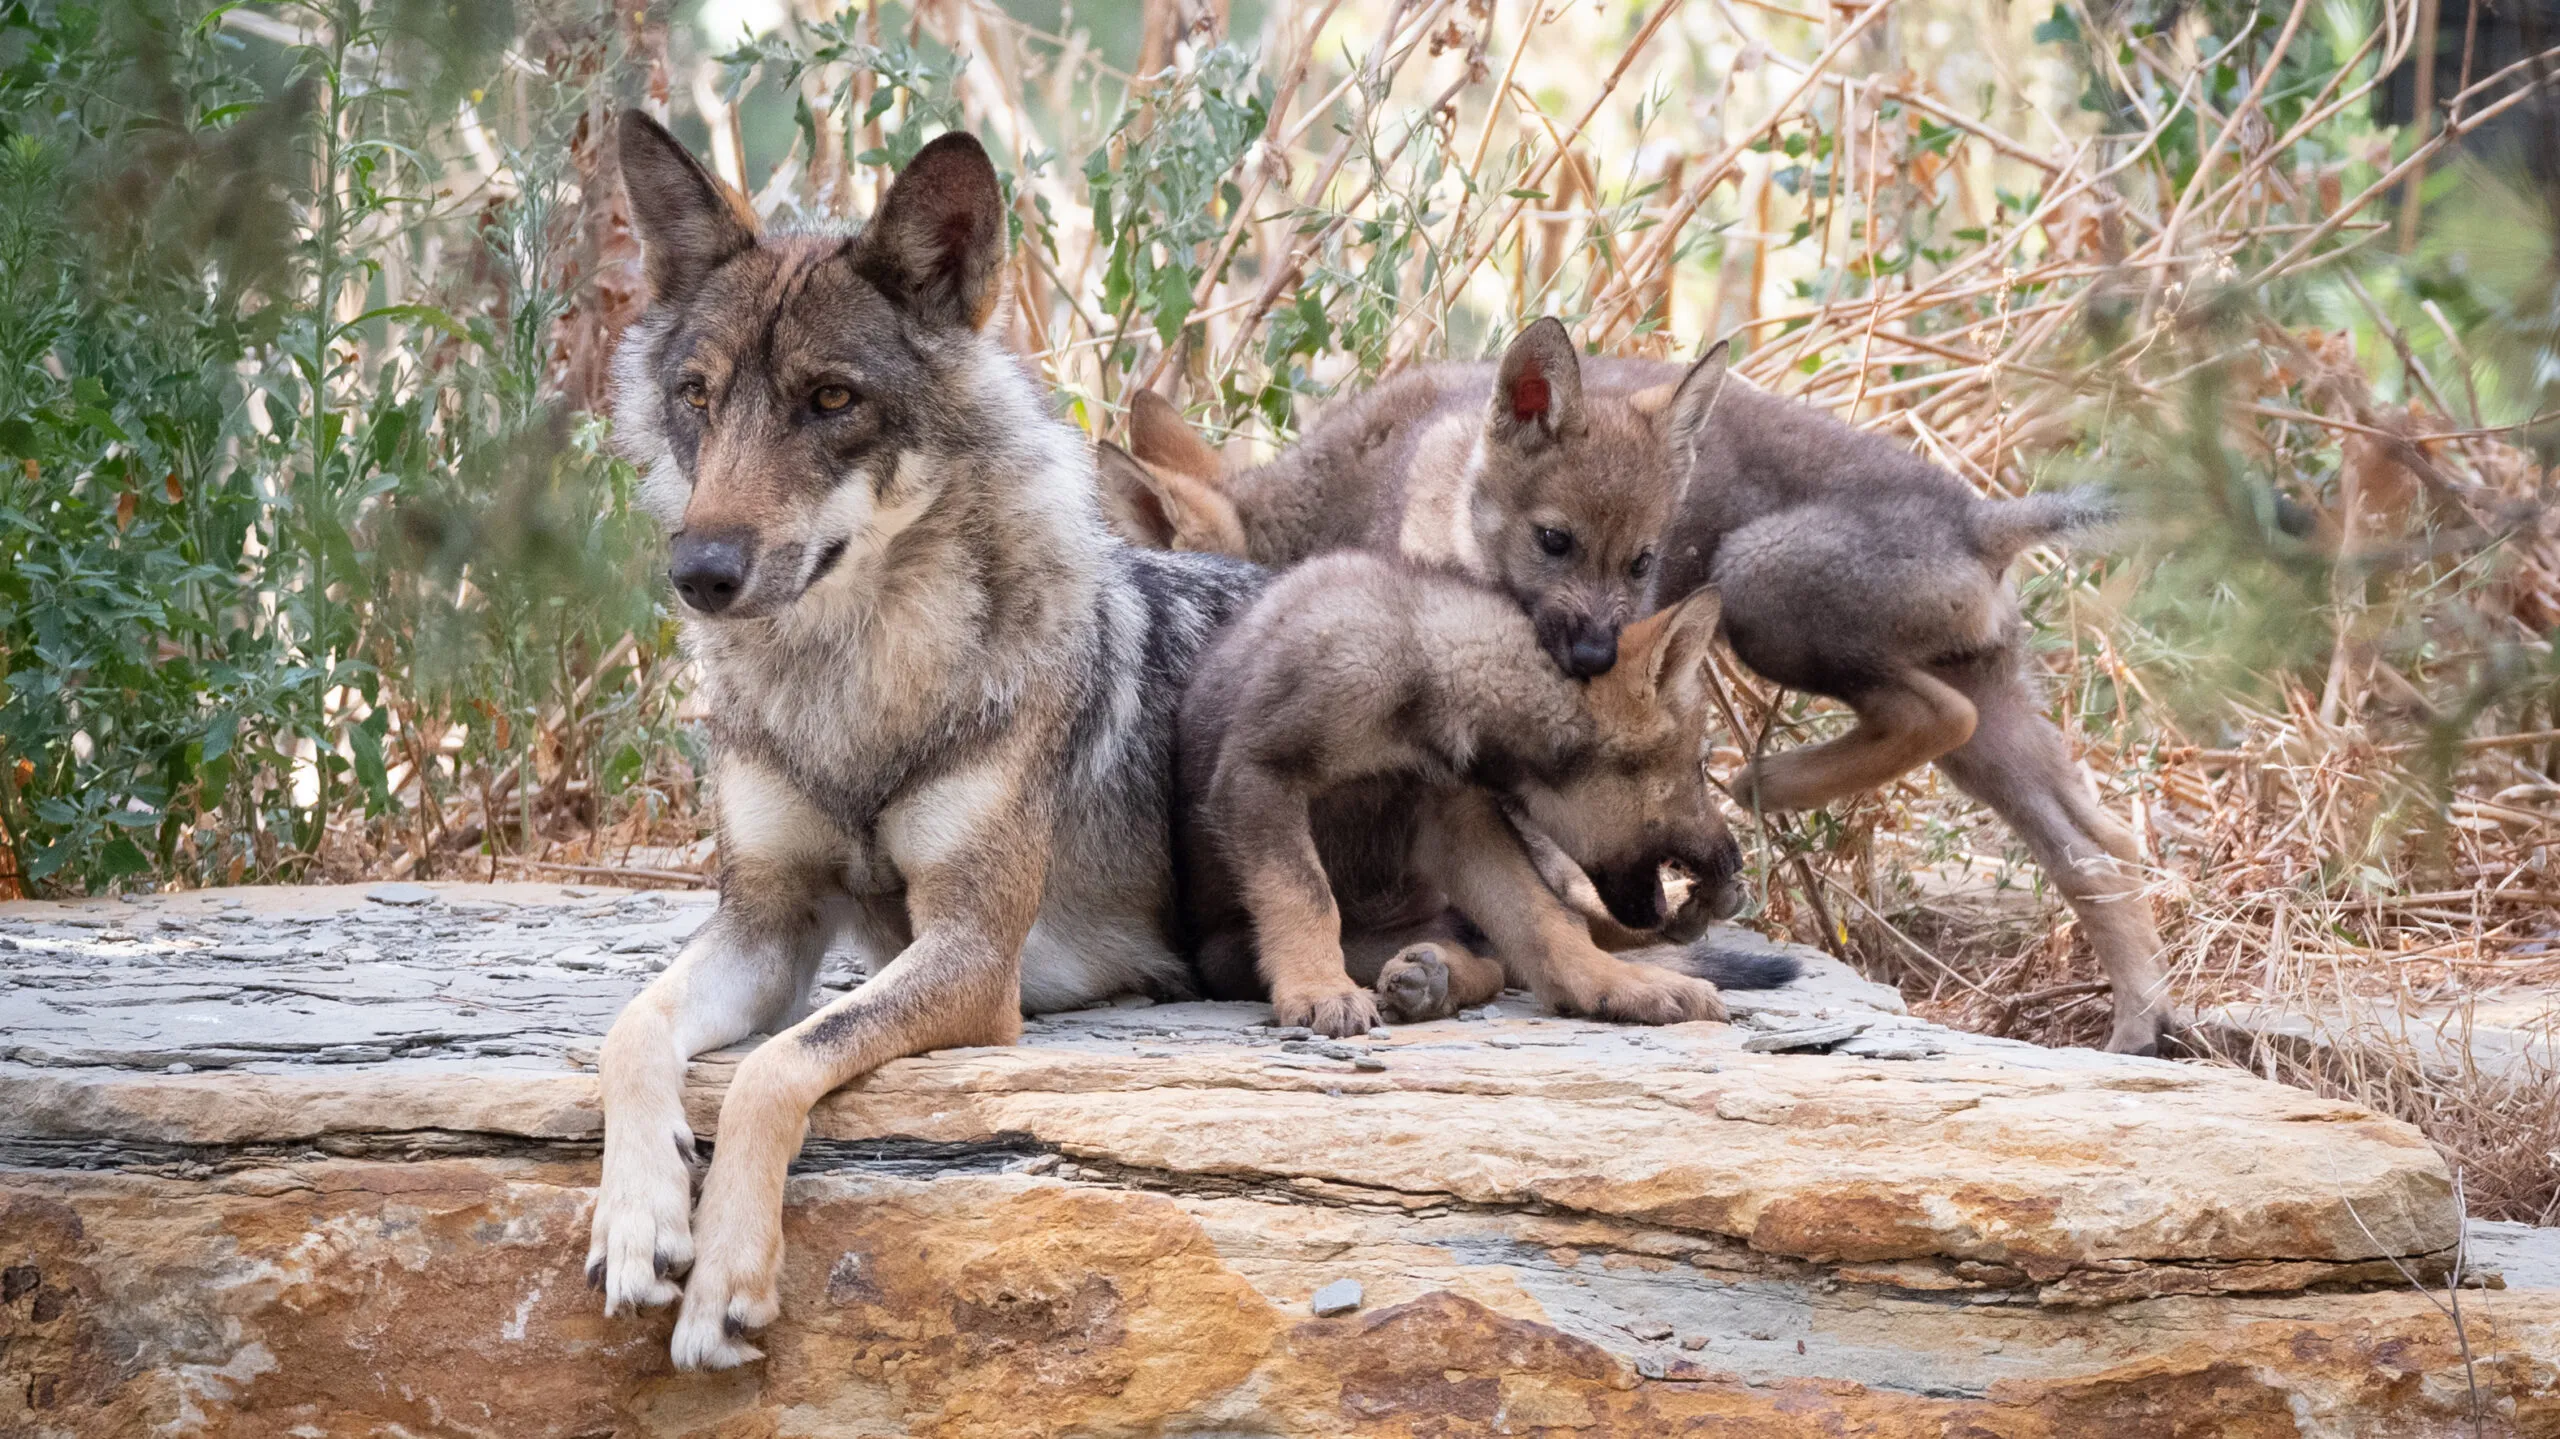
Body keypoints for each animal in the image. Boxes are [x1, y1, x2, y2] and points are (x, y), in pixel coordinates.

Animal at [587, 113, 1263, 1370]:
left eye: (830, 398)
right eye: (696, 396)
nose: (699, 570)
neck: (852, 684)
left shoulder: (973, 955)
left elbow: (773, 1067)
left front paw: (727, 1277)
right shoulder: (765, 928)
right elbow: (634, 1027)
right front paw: (639, 1215)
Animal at [1178, 549, 1797, 1039]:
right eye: (1700, 765)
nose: (1735, 862)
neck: (1426, 668)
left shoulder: (1458, 819)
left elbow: (1544, 922)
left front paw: (1616, 984)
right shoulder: (1261, 775)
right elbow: (1306, 895)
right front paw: (1317, 987)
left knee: (1527, 945)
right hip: (1228, 952)